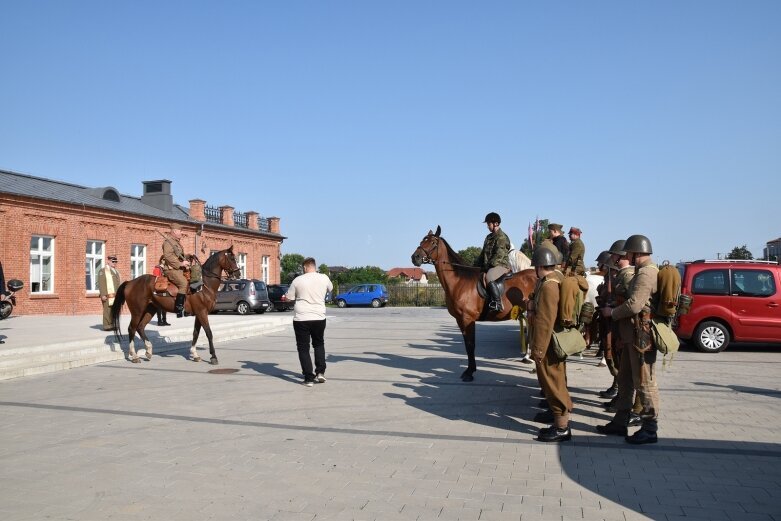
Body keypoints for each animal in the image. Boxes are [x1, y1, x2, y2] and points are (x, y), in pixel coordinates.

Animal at [108, 246, 239, 364]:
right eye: (232, 258)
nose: (238, 274)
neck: (204, 284)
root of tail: (130, 282)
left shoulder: (199, 314)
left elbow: (195, 333)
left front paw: (195, 354)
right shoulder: (202, 313)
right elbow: (208, 333)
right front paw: (213, 357)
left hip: (150, 309)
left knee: (140, 327)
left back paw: (149, 351)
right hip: (137, 311)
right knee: (132, 328)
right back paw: (134, 356)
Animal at [412, 225, 540, 380]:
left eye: (433, 243)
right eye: (422, 241)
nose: (415, 257)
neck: (459, 281)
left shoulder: (468, 319)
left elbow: (471, 344)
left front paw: (469, 372)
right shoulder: (460, 320)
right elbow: (467, 345)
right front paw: (469, 370)